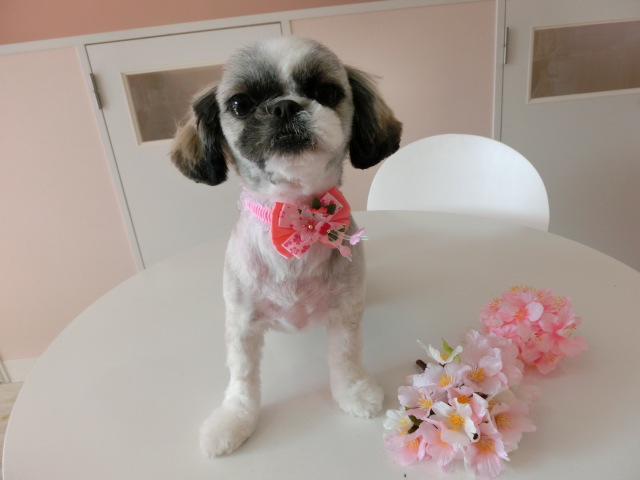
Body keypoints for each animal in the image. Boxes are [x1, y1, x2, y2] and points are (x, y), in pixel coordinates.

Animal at [170, 36, 402, 457]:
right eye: (240, 103)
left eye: (326, 92)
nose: (285, 106)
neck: (295, 216)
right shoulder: (242, 323)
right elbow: (243, 379)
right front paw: (233, 421)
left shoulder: (345, 310)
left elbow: (345, 357)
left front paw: (354, 393)